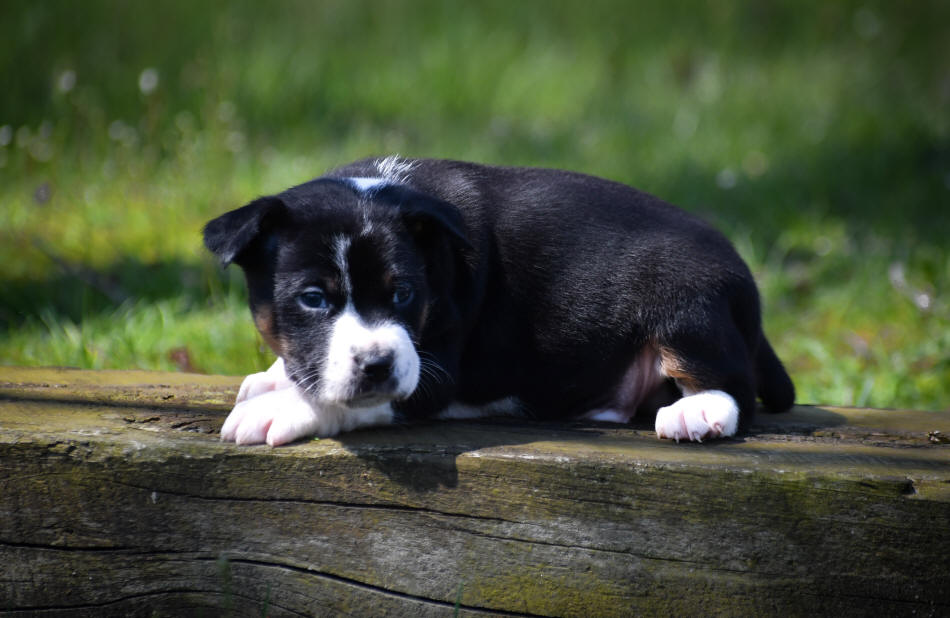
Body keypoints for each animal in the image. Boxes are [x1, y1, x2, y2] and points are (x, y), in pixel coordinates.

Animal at [204, 156, 794, 446]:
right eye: (312, 299)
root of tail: (743, 272)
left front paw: (280, 410)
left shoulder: (434, 371)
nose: (377, 364)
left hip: (684, 299)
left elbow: (357, 401)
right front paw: (274, 378)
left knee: (734, 385)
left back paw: (699, 410)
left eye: (403, 292)